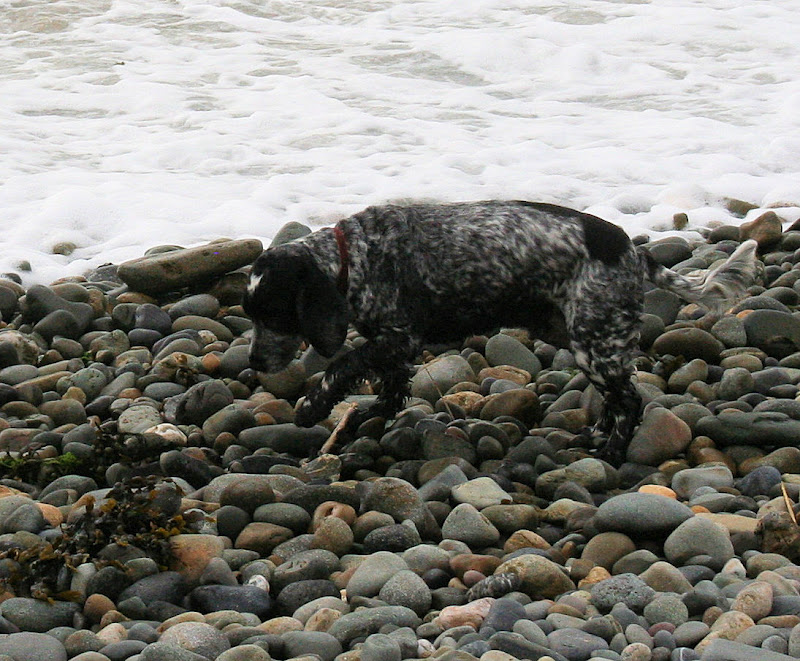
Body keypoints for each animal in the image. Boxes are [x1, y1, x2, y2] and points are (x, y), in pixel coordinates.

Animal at [243, 201, 759, 465]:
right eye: (249, 314)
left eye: (272, 315)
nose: (253, 362)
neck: (354, 256)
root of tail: (632, 251)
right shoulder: (394, 345)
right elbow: (388, 391)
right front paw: (363, 419)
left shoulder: (397, 337)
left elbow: (343, 364)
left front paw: (312, 406)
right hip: (574, 334)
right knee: (617, 398)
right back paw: (596, 436)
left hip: (594, 342)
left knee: (630, 400)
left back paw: (613, 452)